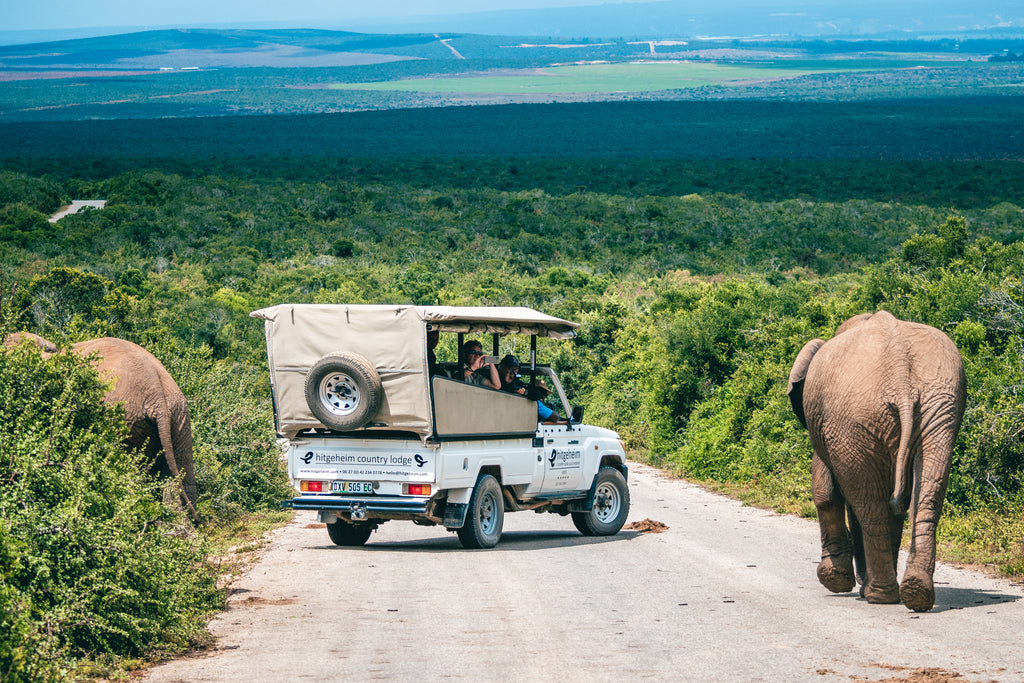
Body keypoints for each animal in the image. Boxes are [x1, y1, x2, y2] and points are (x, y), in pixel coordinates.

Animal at [787, 311, 966, 612]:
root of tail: (901, 377)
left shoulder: (829, 428)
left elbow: (825, 491)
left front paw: (837, 581)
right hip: (939, 406)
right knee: (923, 495)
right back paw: (914, 593)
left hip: (853, 420)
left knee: (871, 507)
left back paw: (878, 595)